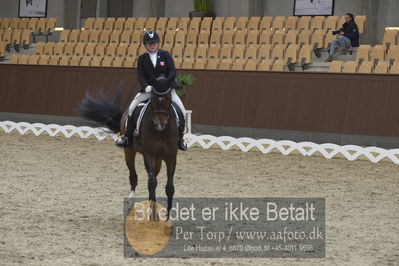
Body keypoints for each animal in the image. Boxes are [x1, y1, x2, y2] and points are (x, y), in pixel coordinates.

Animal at [79, 76, 179, 220]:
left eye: (168, 99)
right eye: (153, 98)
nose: (160, 124)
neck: (161, 132)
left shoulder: (171, 157)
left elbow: (169, 187)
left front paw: (167, 217)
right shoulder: (148, 154)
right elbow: (151, 182)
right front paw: (153, 216)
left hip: (158, 159)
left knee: (153, 175)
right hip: (129, 151)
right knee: (133, 176)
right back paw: (131, 203)